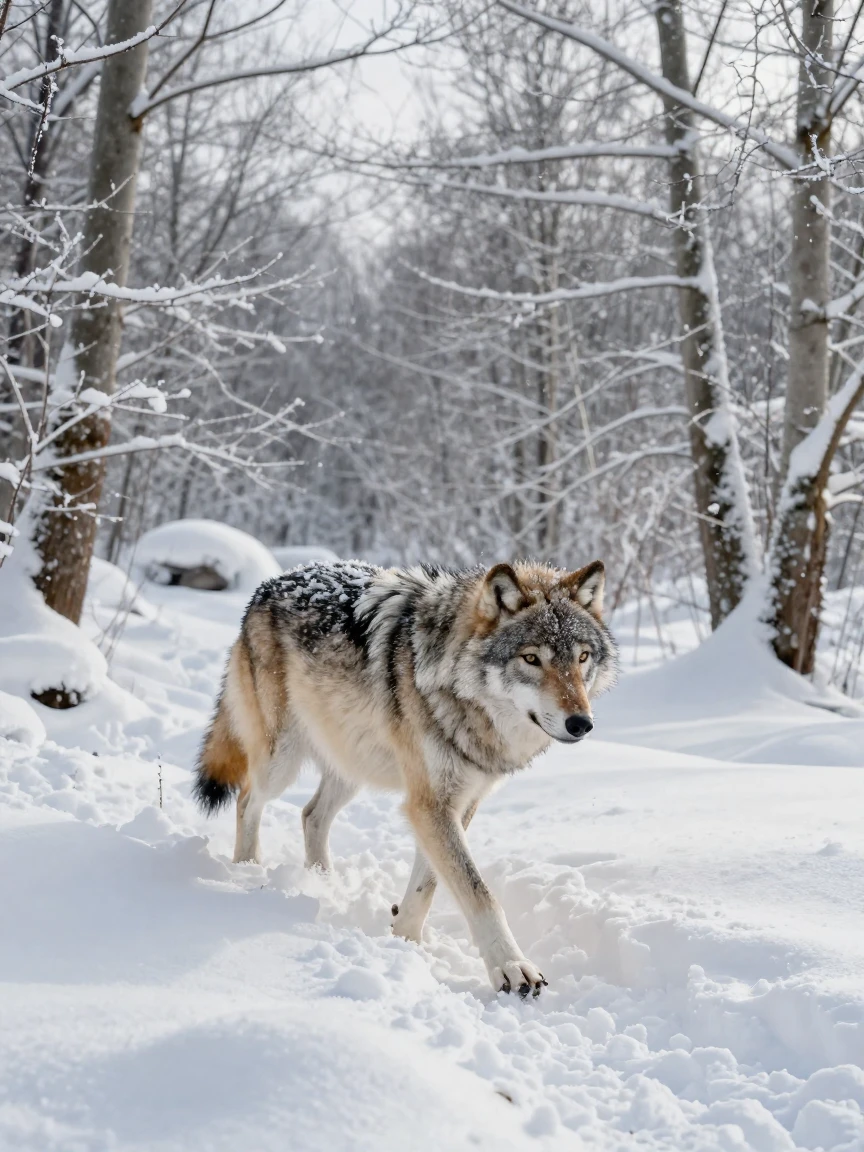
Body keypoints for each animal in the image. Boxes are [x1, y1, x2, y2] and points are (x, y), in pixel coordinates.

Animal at [194, 558, 618, 996]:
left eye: (583, 657)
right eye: (532, 659)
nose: (581, 723)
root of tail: (270, 583)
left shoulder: (457, 804)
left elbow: (427, 885)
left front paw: (404, 942)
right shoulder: (430, 804)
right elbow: (479, 893)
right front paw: (512, 967)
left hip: (352, 764)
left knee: (311, 815)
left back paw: (323, 882)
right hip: (281, 761)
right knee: (248, 799)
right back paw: (247, 871)